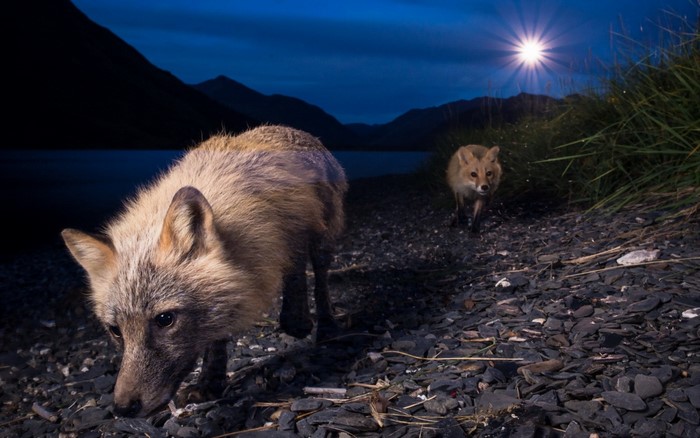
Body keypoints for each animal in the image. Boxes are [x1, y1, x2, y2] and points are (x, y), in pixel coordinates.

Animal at [61, 125, 347, 418]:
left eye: (165, 319)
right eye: (115, 330)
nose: (123, 409)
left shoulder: (297, 222)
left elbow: (296, 272)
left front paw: (298, 320)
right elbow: (216, 335)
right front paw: (209, 382)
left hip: (324, 238)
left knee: (320, 280)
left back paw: (326, 325)